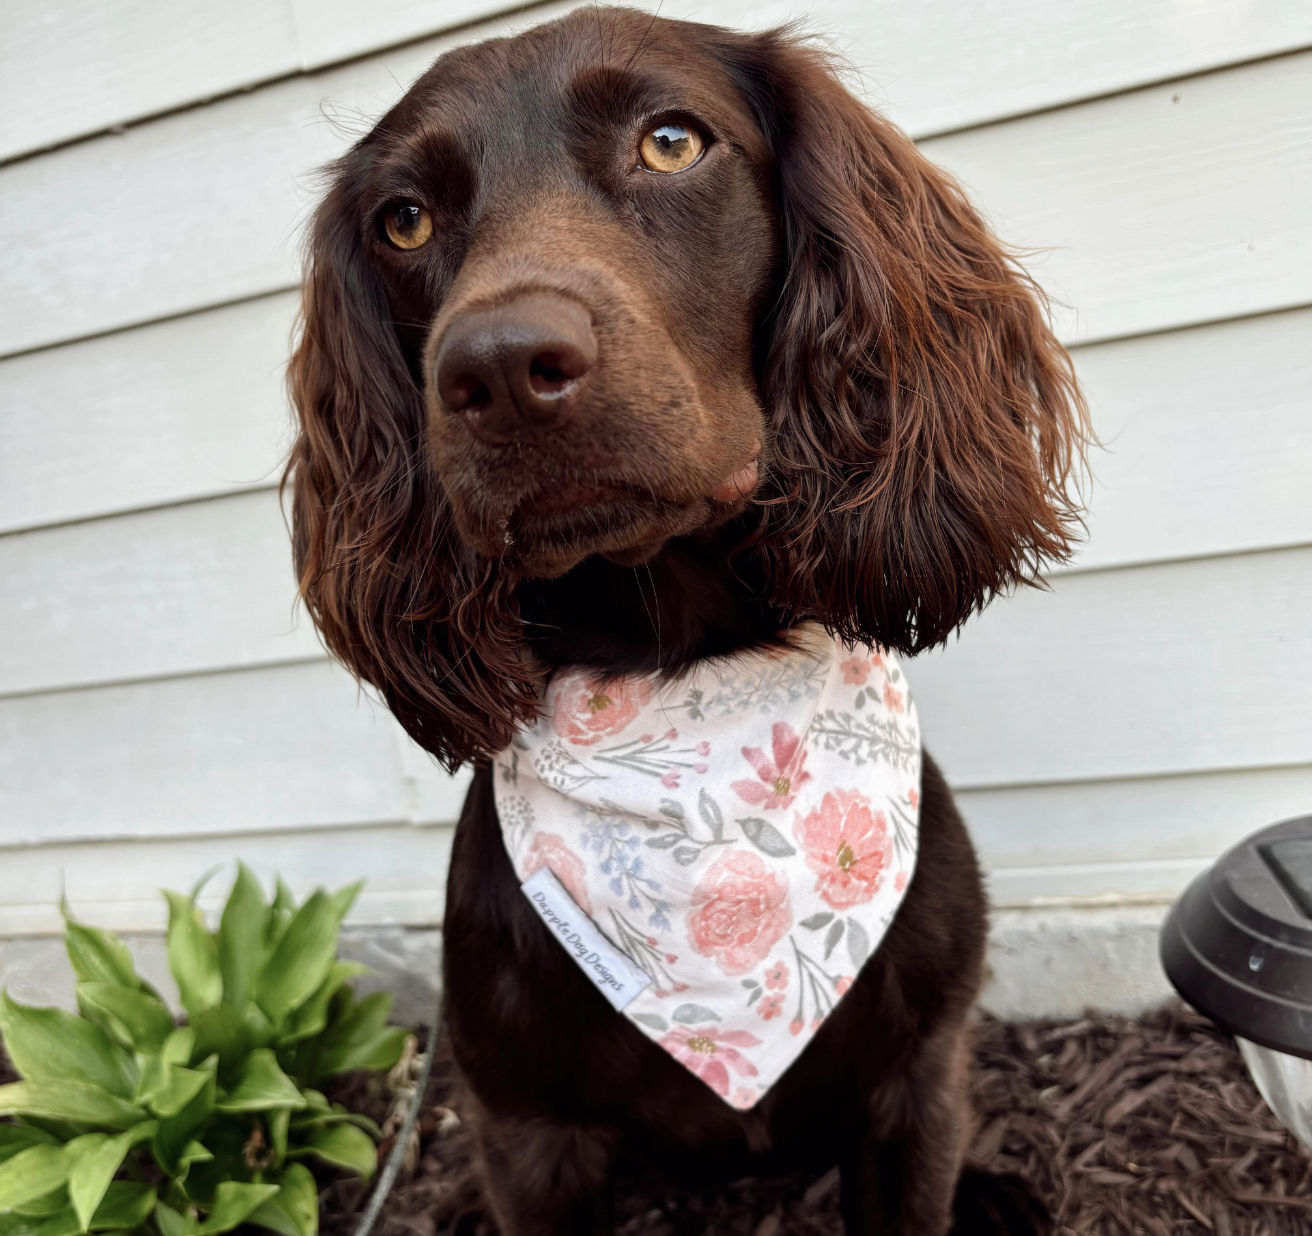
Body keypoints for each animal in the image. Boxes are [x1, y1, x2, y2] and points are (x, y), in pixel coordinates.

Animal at [284, 12, 1086, 1236]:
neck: (687, 676)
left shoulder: (917, 1080)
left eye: (670, 142)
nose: (498, 367)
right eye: (404, 219)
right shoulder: (527, 1129)